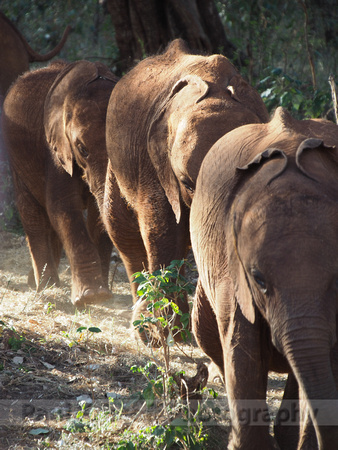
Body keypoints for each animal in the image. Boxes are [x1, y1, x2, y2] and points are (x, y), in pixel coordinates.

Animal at [1, 59, 119, 306]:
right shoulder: (55, 148)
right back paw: (45, 285)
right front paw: (92, 297)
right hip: (17, 159)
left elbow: (96, 212)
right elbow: (64, 207)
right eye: (82, 149)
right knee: (32, 212)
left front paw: (103, 295)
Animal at [103, 38, 270, 330]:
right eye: (186, 183)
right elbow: (163, 231)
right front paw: (161, 331)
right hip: (117, 160)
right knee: (121, 228)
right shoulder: (153, 163)